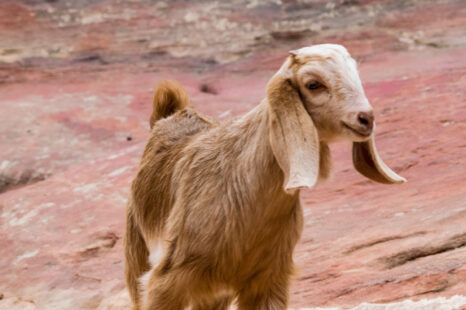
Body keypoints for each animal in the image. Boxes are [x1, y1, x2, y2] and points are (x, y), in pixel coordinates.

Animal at [124, 43, 404, 310]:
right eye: (313, 84)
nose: (366, 118)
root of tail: (171, 113)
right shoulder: (166, 279)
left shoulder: (269, 278)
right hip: (137, 257)